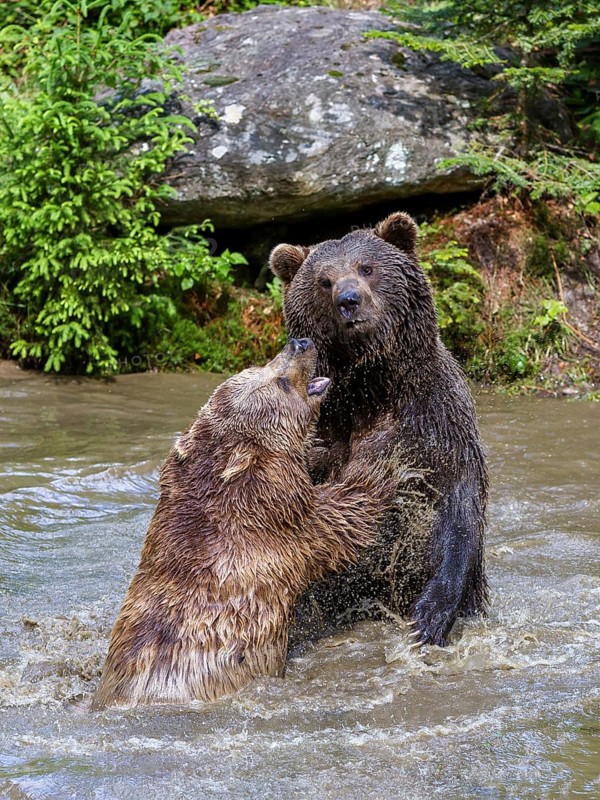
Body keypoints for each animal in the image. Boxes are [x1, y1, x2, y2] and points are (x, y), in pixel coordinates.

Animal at [92, 338, 398, 709]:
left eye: (260, 364)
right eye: (280, 382)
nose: (300, 343)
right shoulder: (284, 529)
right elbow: (346, 516)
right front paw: (381, 443)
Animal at [269, 212, 489, 647]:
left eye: (366, 267)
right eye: (324, 280)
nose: (348, 300)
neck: (373, 385)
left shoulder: (436, 419)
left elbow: (458, 508)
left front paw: (429, 616)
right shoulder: (321, 436)